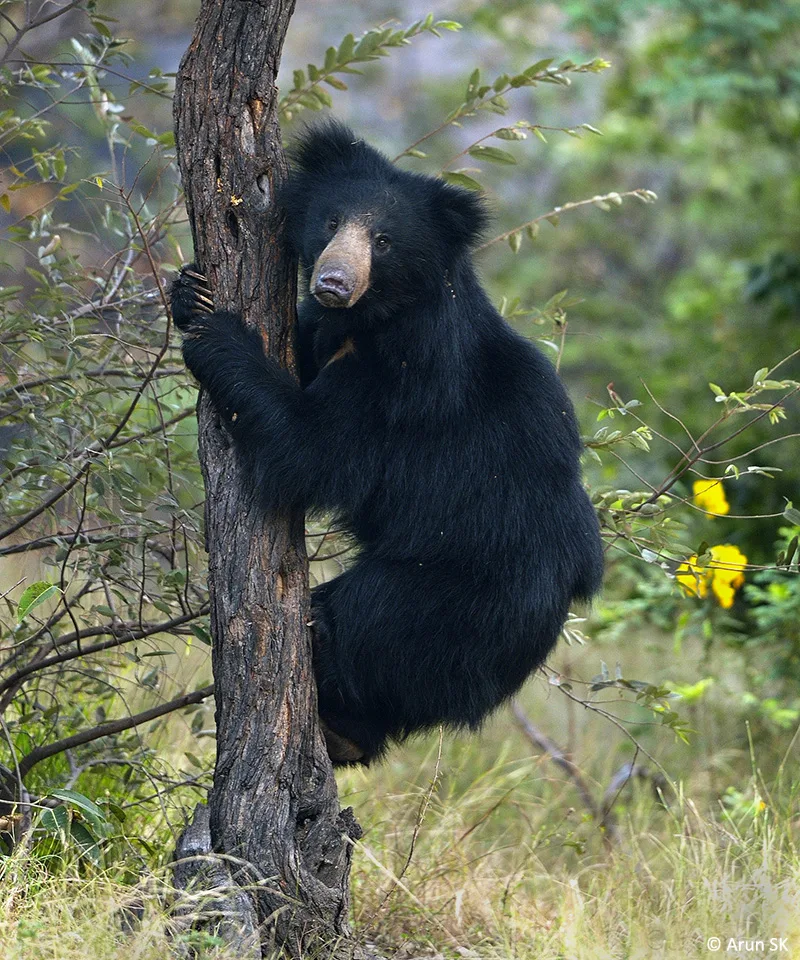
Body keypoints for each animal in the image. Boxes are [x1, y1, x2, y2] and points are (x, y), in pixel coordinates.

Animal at [172, 122, 604, 764]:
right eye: (330, 222)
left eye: (383, 241)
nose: (332, 283)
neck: (371, 319)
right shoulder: (334, 334)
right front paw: (188, 291)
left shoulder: (406, 382)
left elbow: (312, 447)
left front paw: (216, 330)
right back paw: (343, 730)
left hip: (457, 589)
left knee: (374, 620)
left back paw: (326, 652)